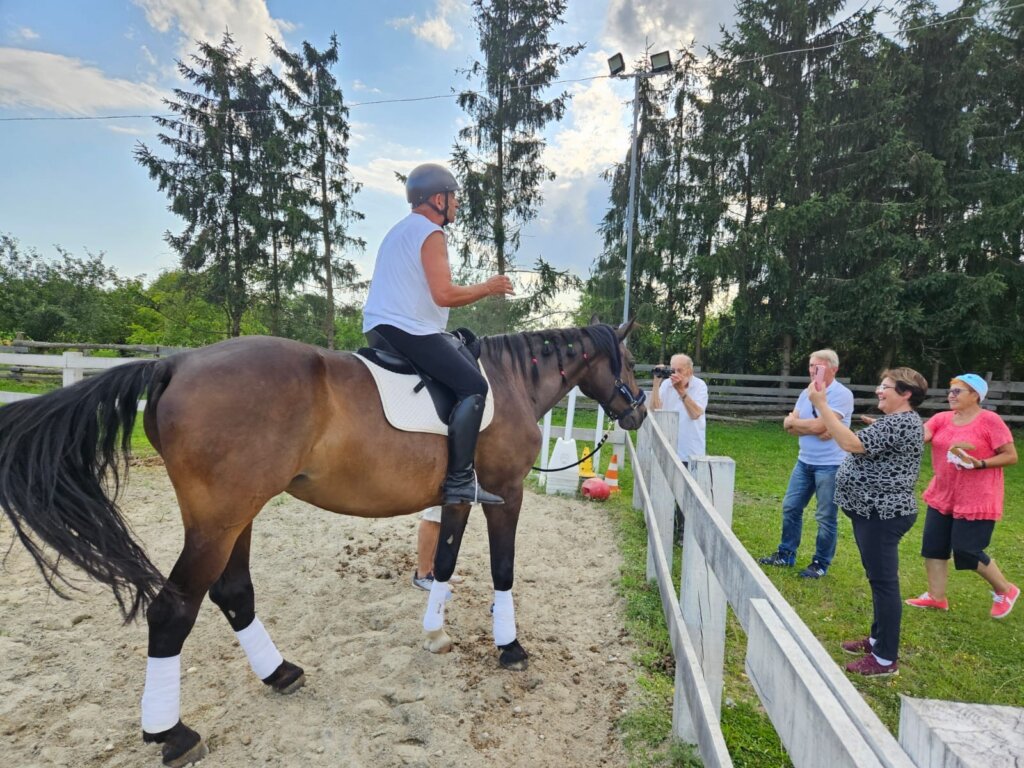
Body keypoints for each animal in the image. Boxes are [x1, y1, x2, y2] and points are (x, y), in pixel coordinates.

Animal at [0, 317, 643, 765]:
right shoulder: (506, 495)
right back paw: (172, 733)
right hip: (218, 522)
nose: (636, 412)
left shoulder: (461, 496)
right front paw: (510, 647)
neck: (508, 384)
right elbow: (501, 570)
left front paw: (434, 632)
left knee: (233, 592)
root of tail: (174, 366)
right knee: (173, 611)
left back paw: (279, 673)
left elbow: (445, 562)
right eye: (633, 361)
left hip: (236, 518)